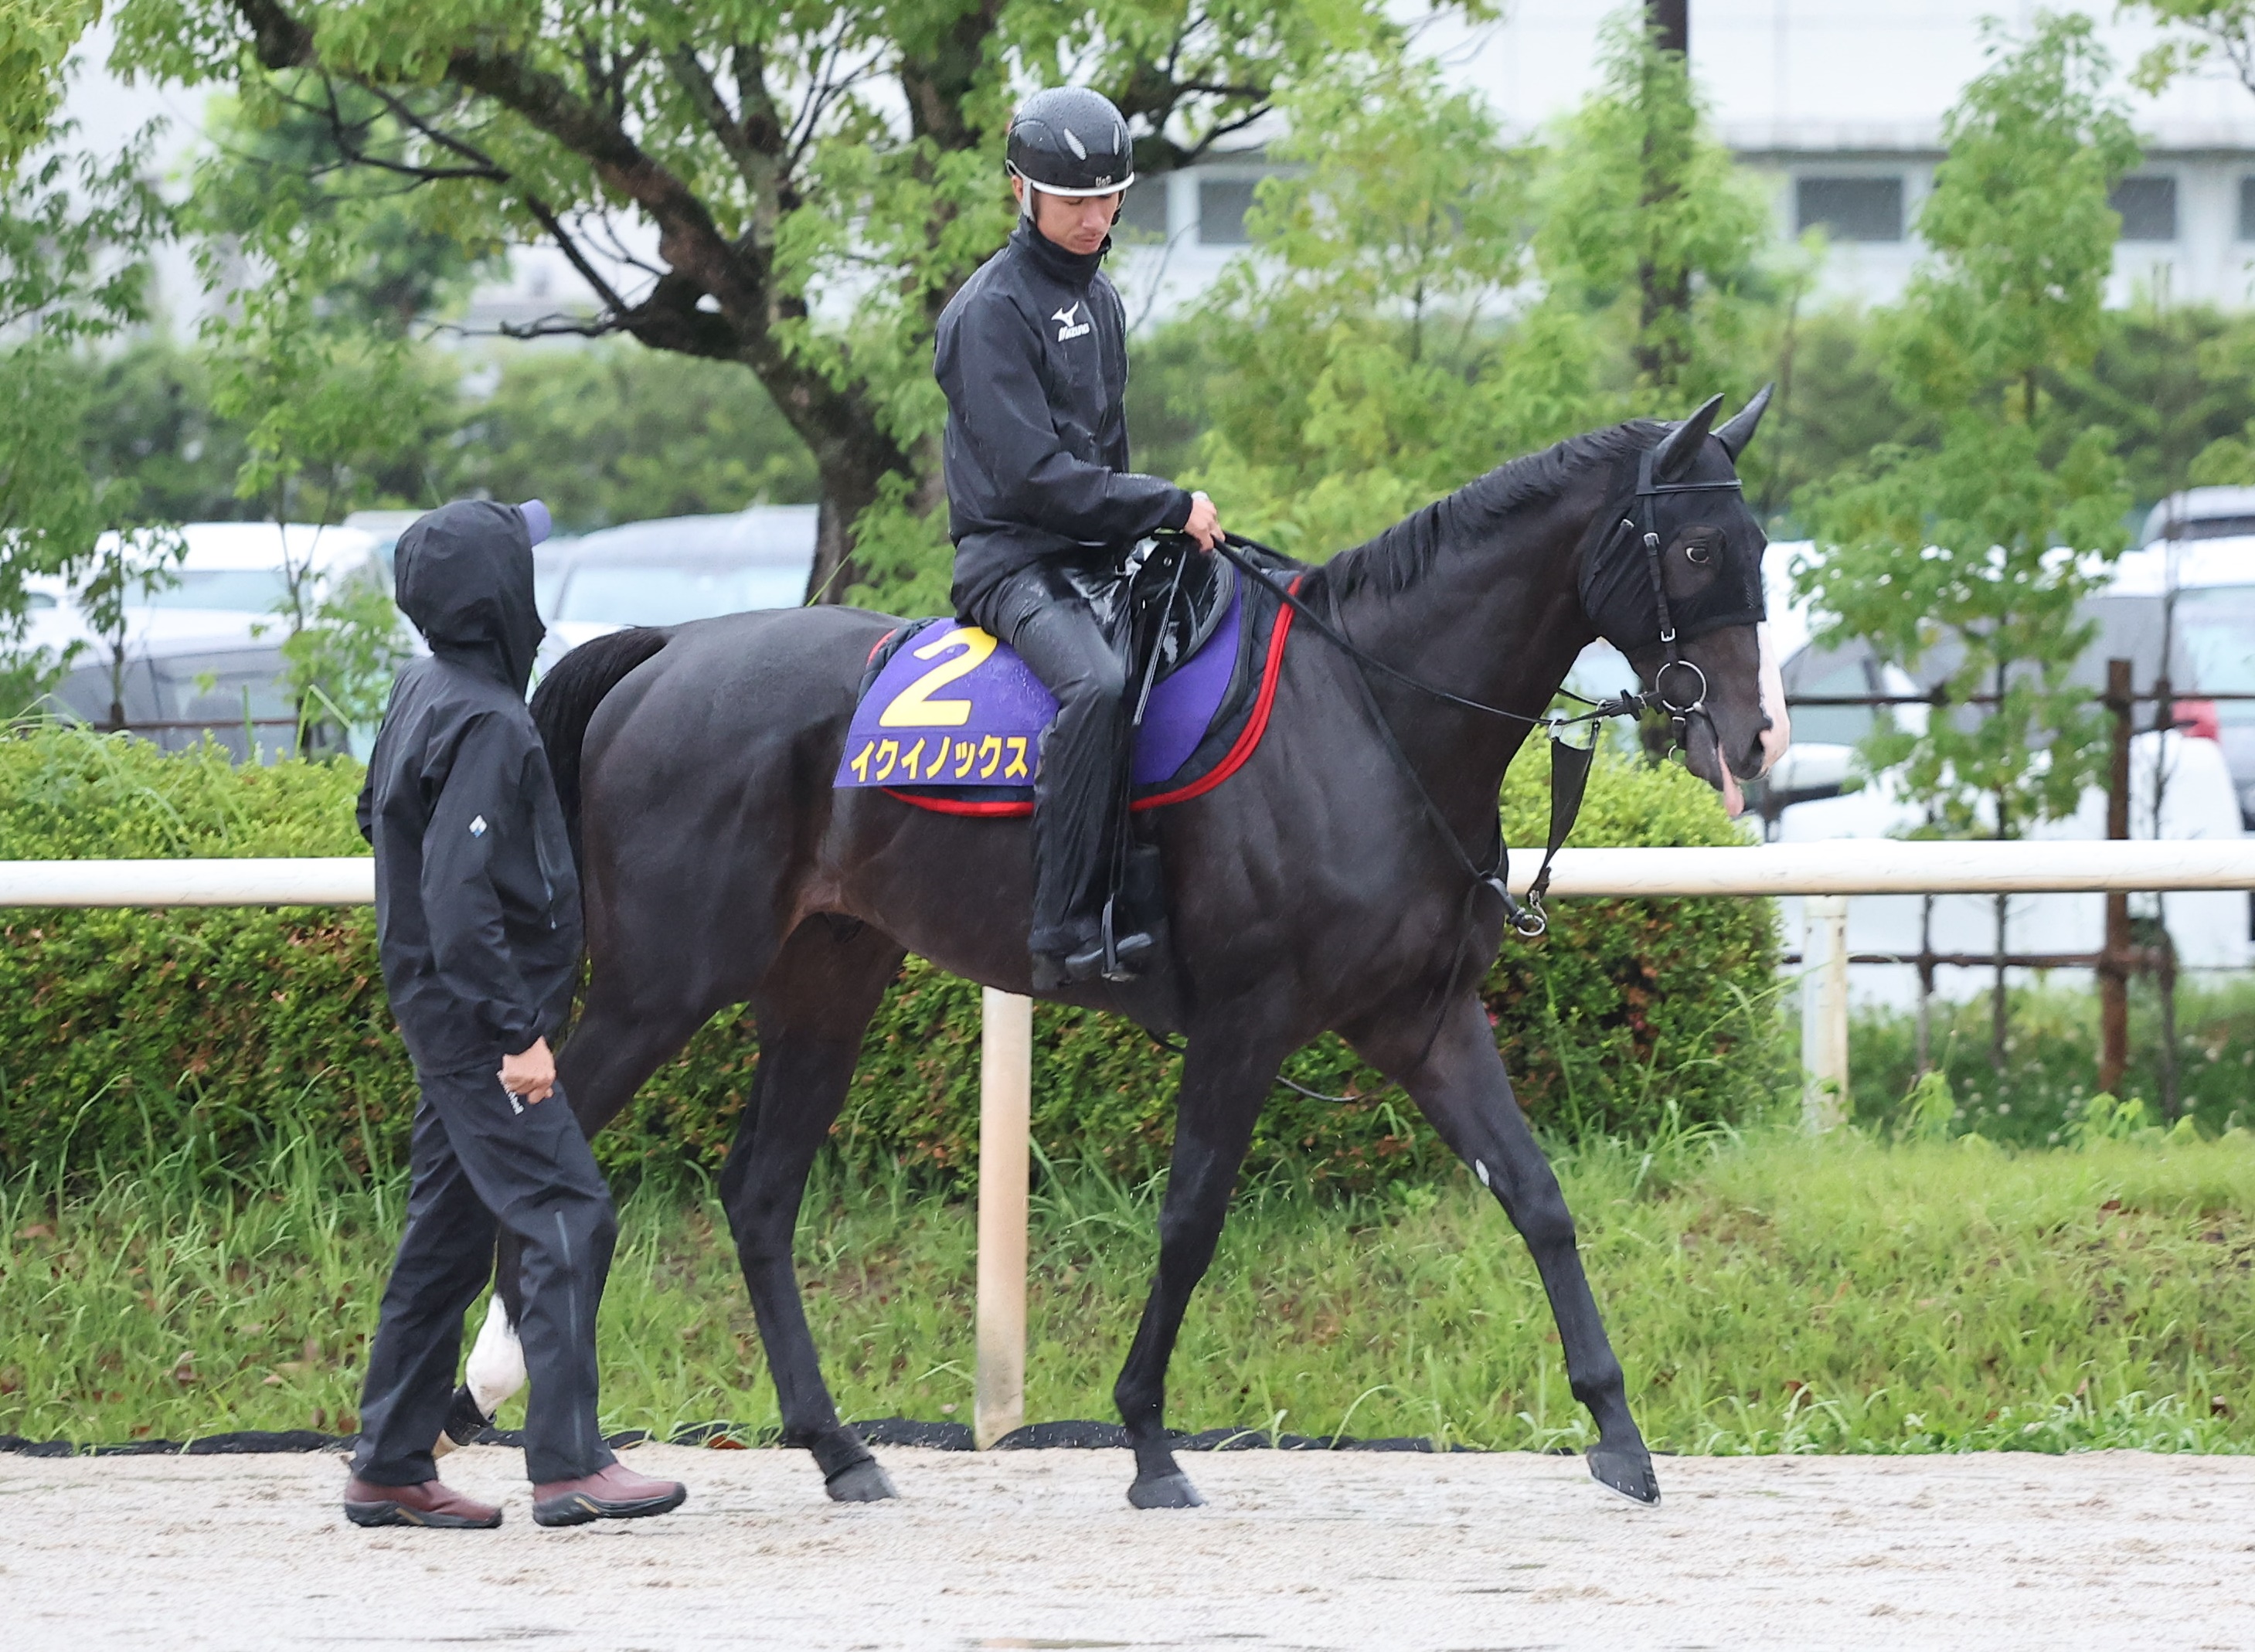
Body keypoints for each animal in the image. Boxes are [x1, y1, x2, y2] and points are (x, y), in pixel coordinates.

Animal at [471, 387, 1777, 1505]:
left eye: (1757, 542)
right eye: (1697, 551)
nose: (1757, 736)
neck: (1368, 717)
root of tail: (663, 651)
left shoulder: (1425, 1018)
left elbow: (1537, 1196)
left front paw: (1617, 1433)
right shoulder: (1247, 1020)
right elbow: (1190, 1218)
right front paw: (1147, 1436)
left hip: (826, 981)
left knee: (754, 1192)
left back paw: (834, 1446)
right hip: (662, 982)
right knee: (531, 1138)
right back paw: (493, 1402)